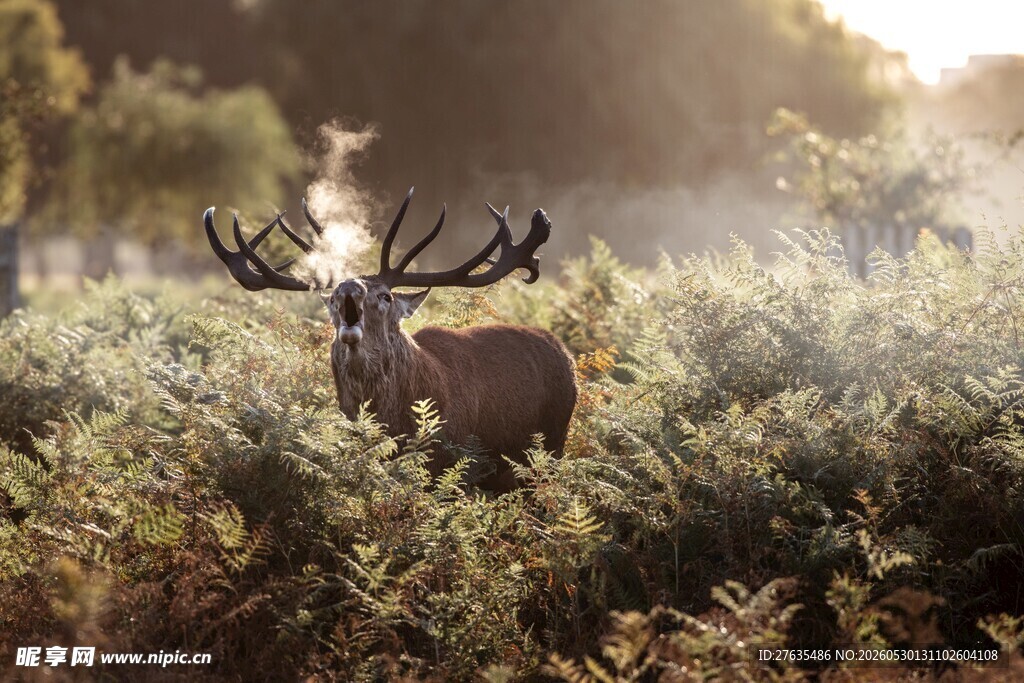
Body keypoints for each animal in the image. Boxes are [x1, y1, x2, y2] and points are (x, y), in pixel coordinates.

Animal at [203, 188, 577, 491]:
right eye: (332, 298)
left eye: (385, 296)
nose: (348, 287)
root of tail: (565, 352)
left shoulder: (454, 464)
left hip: (551, 448)